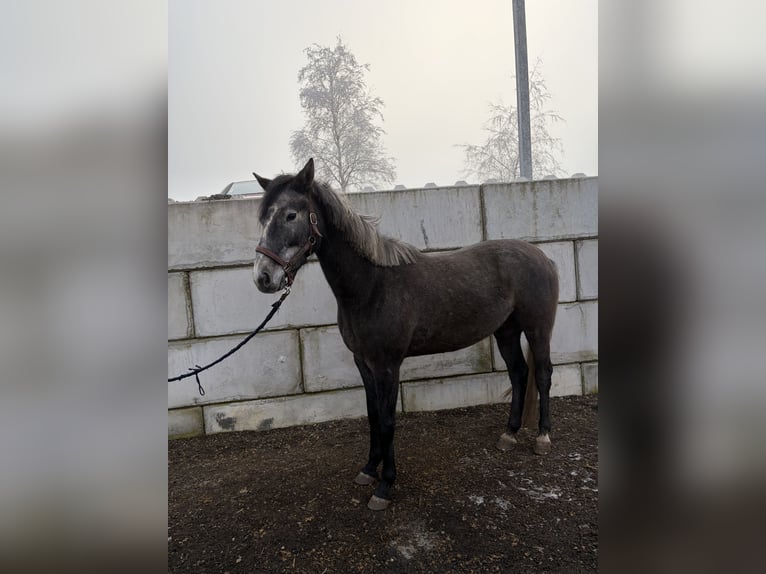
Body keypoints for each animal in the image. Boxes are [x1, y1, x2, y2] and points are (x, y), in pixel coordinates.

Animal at [252, 159, 558, 511]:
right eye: (263, 218)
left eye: (291, 214)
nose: (263, 277)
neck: (372, 286)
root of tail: (542, 257)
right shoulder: (364, 363)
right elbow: (372, 415)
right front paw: (368, 470)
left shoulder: (387, 366)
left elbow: (387, 421)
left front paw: (385, 485)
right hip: (506, 331)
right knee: (519, 373)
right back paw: (509, 434)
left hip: (538, 329)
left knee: (543, 374)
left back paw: (542, 438)